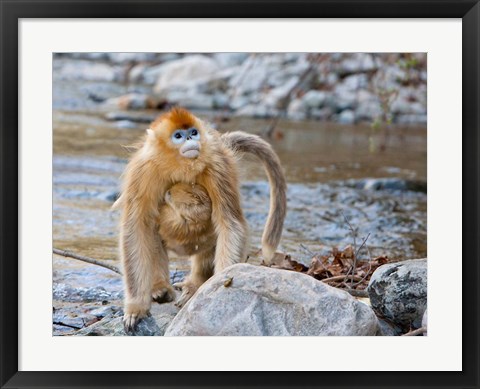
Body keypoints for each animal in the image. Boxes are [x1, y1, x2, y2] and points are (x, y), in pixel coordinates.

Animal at [115, 107, 284, 330]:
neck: (179, 166)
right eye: (178, 136)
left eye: (193, 132)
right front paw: (136, 307)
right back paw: (160, 287)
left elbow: (230, 224)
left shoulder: (217, 167)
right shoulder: (143, 171)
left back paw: (195, 285)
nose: (190, 139)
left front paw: (220, 285)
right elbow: (136, 228)